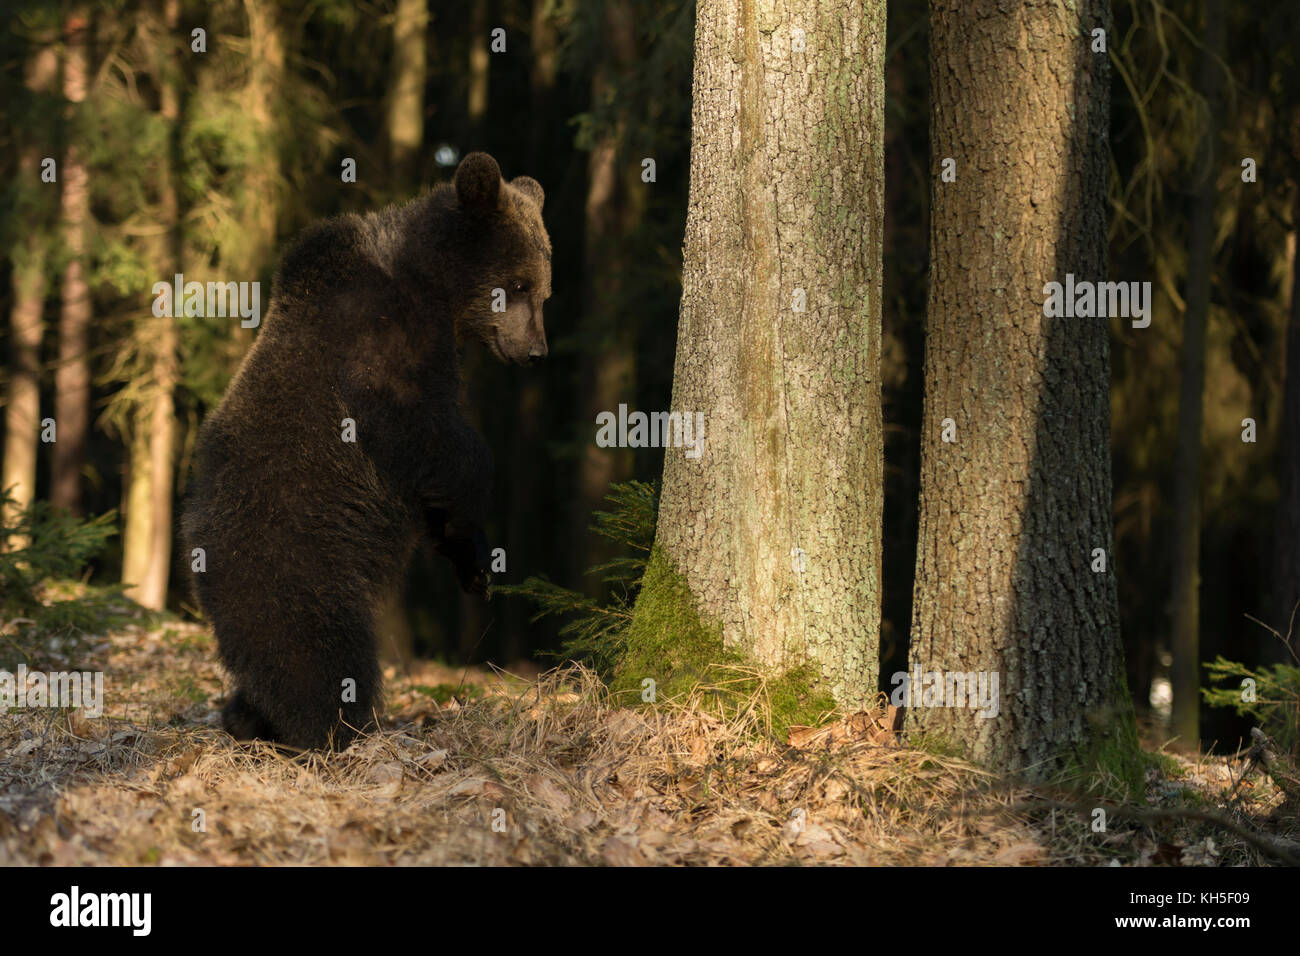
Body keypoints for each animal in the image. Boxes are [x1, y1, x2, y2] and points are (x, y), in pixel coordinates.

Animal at [180, 152, 551, 751]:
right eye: (517, 284)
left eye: (543, 291)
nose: (536, 351)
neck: (431, 286)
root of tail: (195, 549)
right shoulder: (379, 347)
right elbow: (435, 440)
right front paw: (476, 533)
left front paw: (472, 563)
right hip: (294, 556)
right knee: (314, 651)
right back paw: (332, 729)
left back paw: (246, 717)